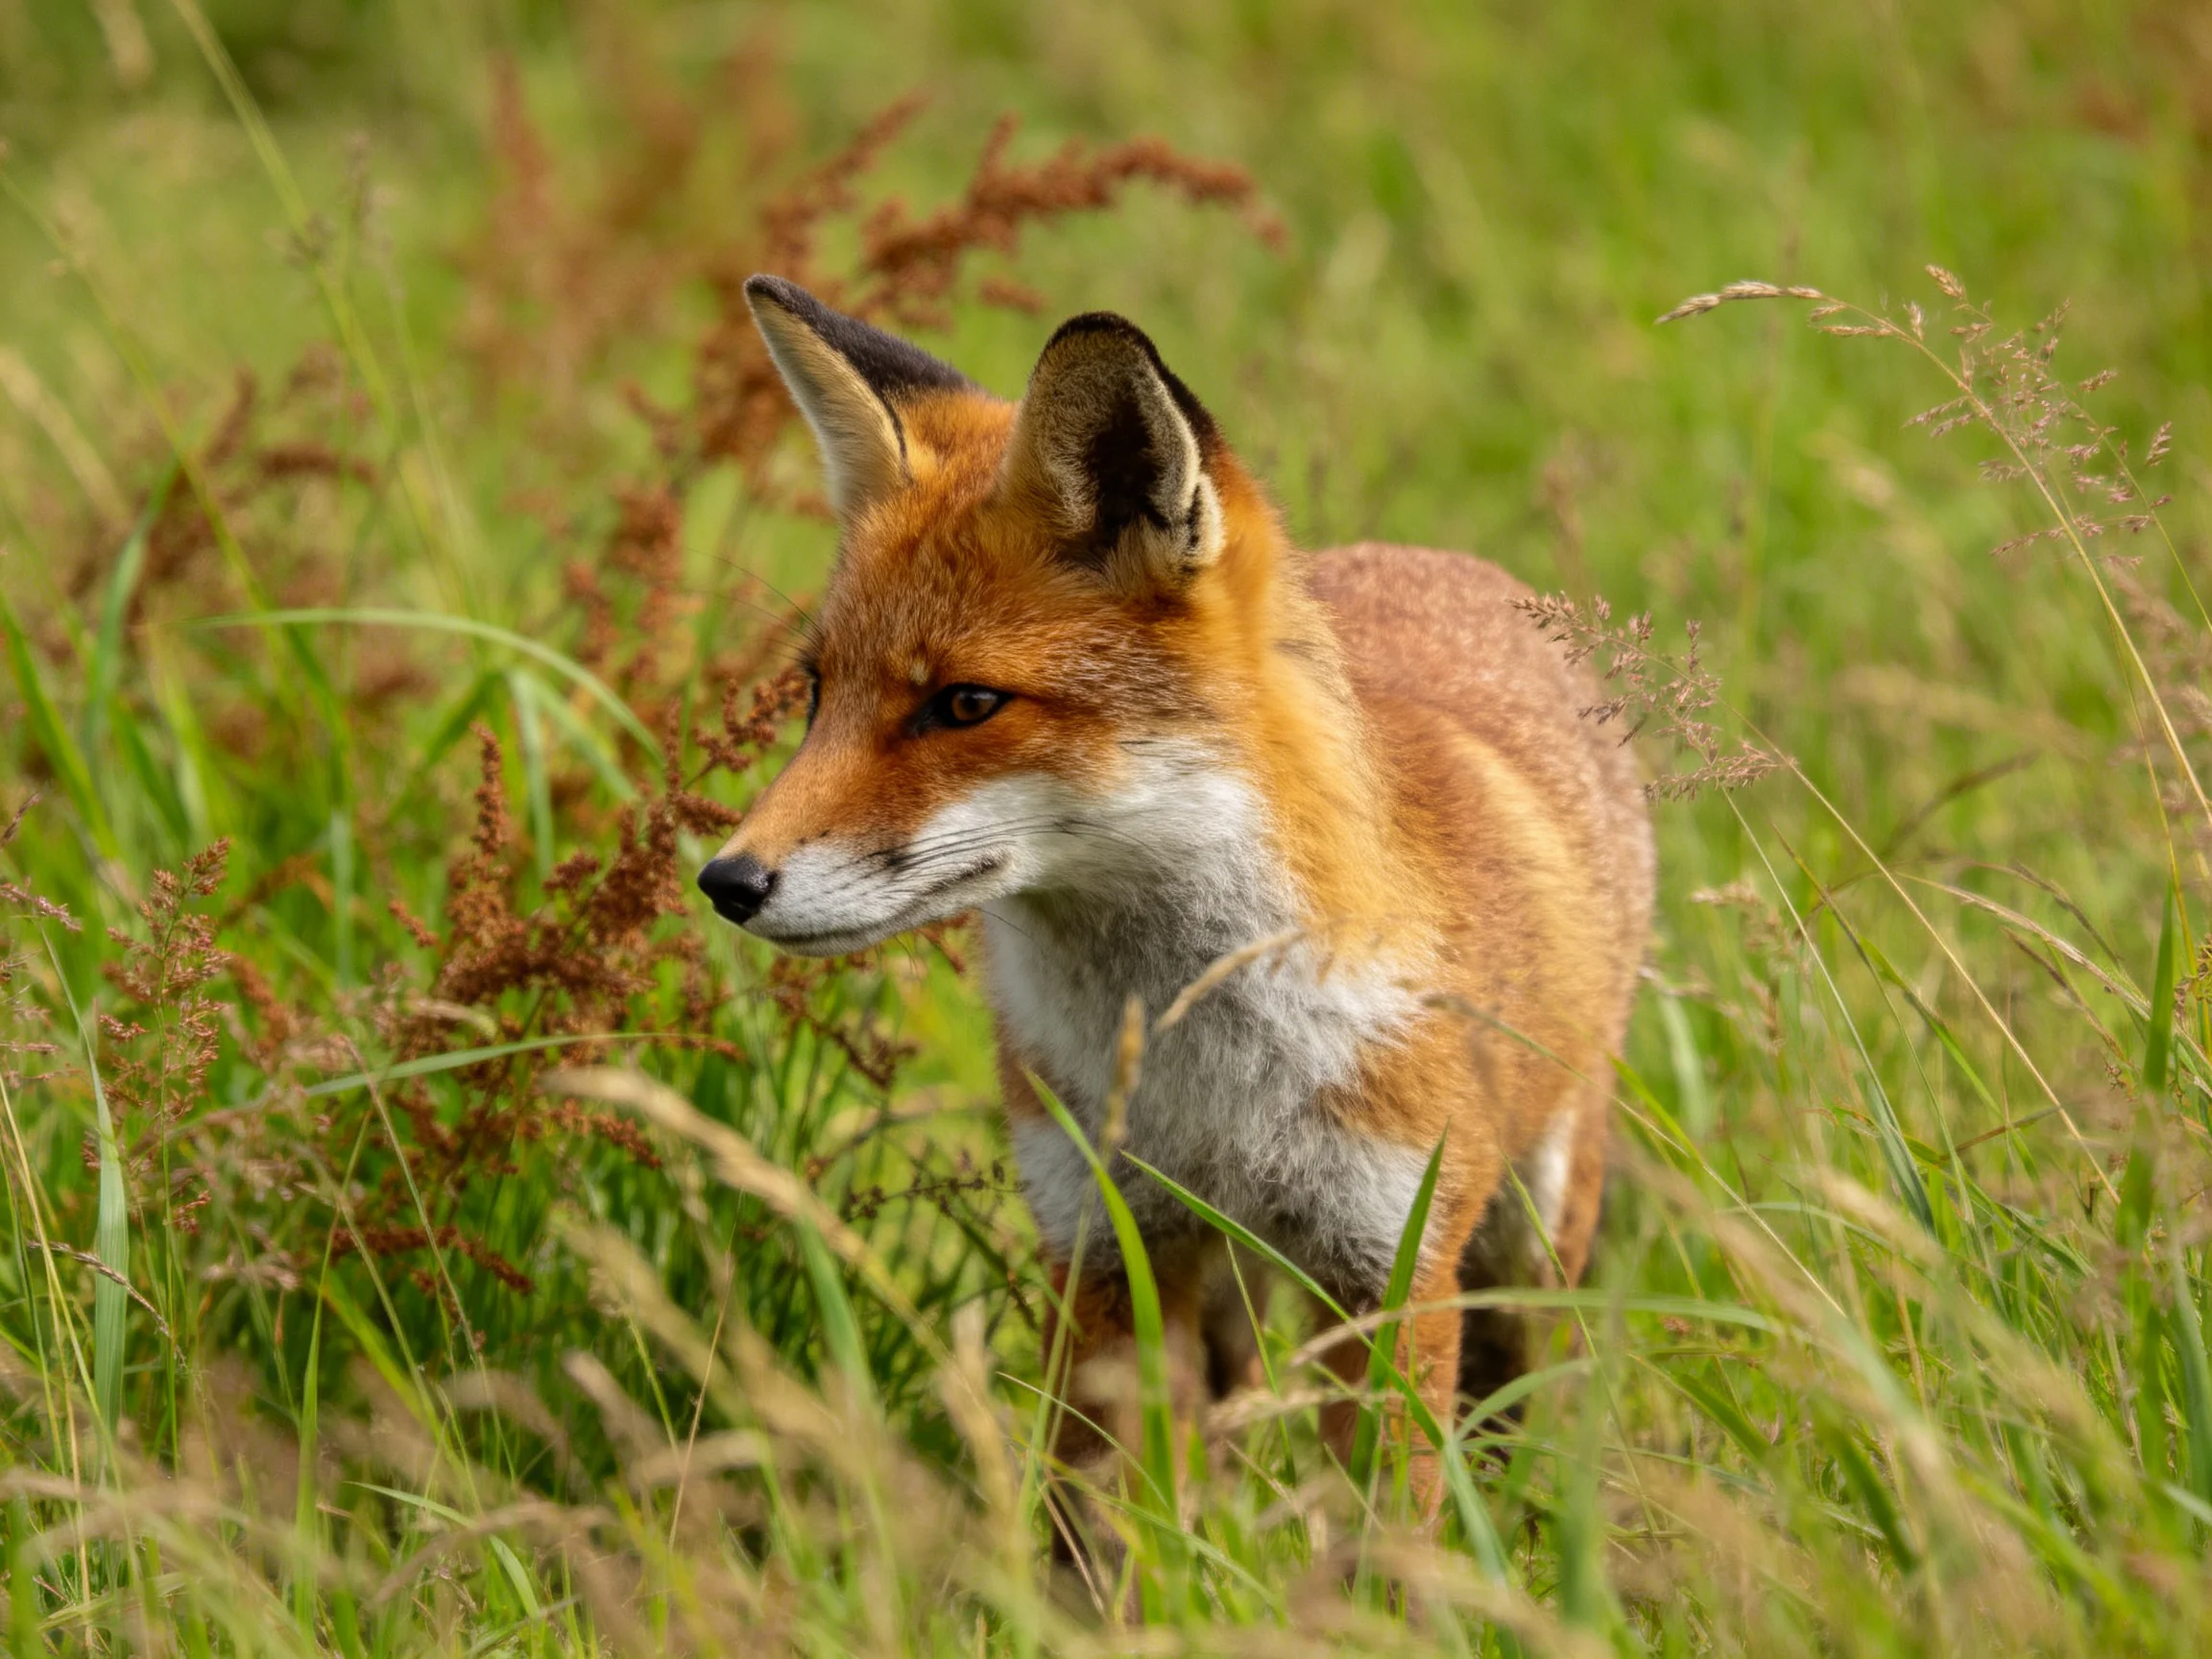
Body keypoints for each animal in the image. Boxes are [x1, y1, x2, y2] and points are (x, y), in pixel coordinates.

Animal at [698, 274, 1654, 1511]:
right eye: (816, 694)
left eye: (965, 705)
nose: (726, 881)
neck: (1206, 1078)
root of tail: (1455, 564)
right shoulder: (1102, 1246)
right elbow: (1098, 1529)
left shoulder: (1391, 1264)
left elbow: (1386, 1534)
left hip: (1528, 1235)